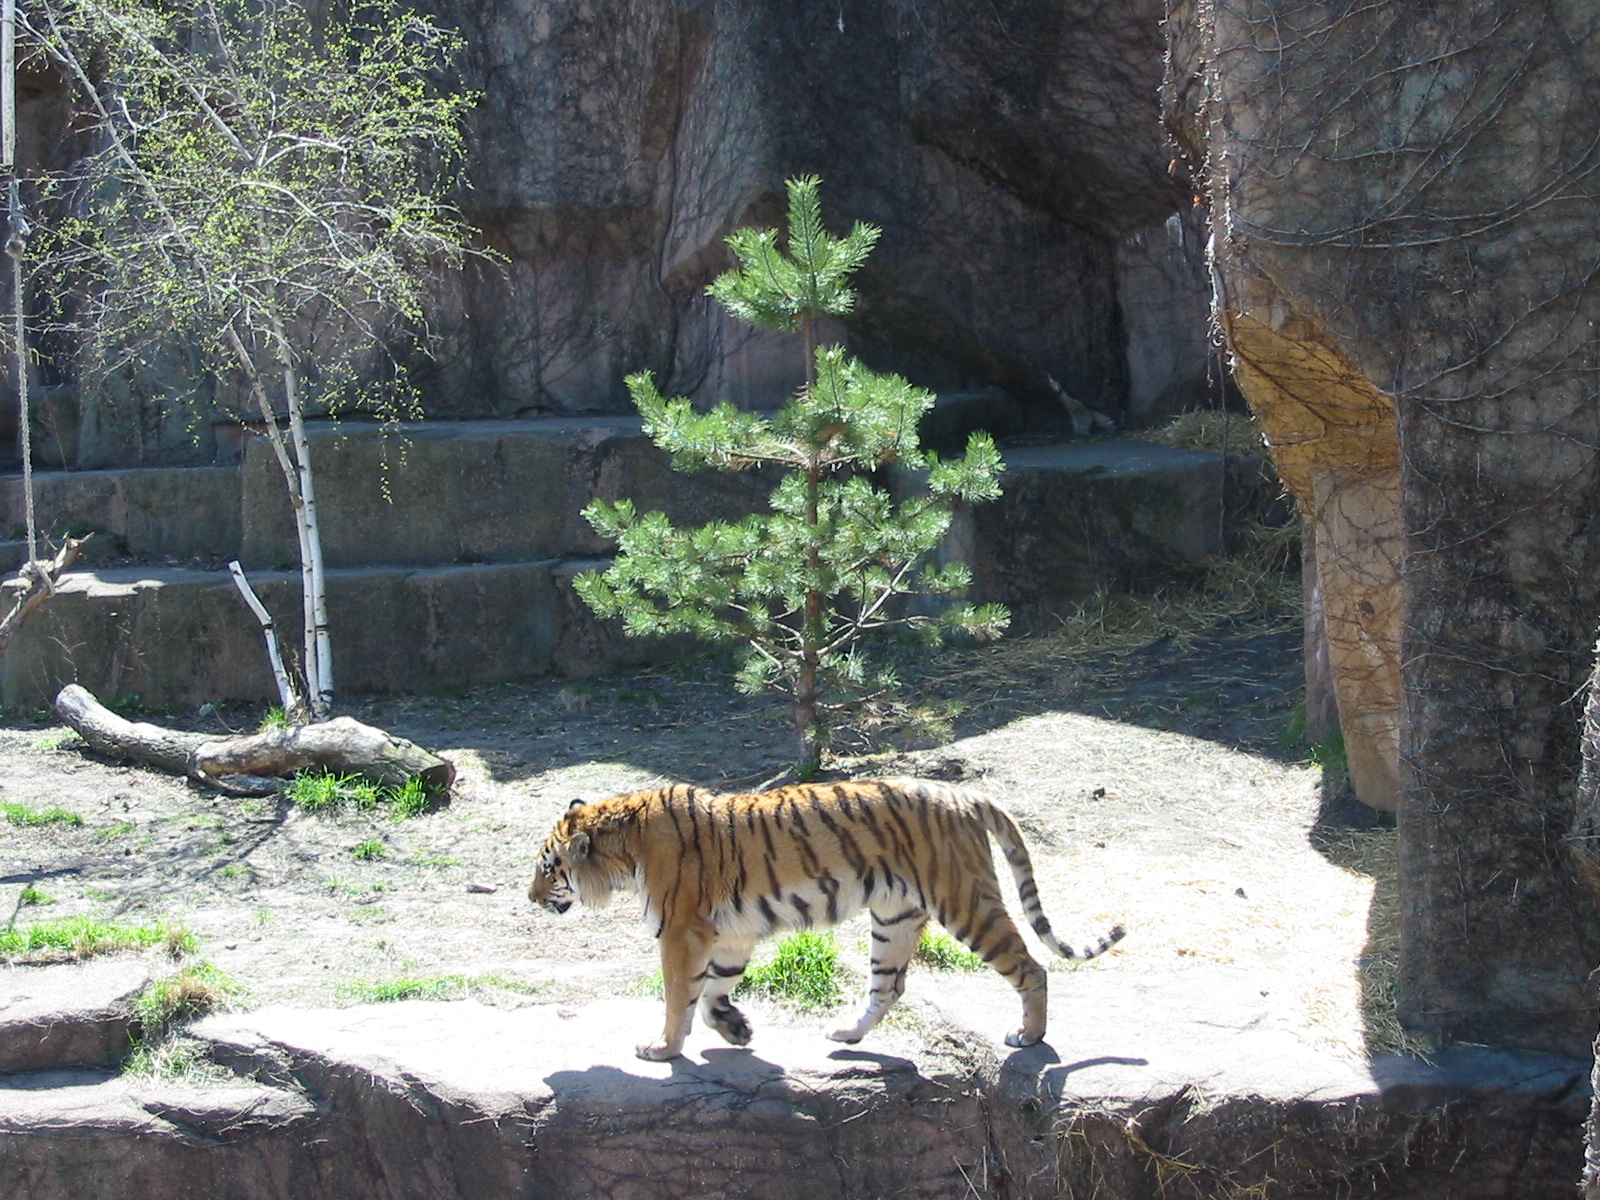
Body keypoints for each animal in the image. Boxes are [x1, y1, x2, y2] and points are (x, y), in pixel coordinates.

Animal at [527, 777, 1125, 1061]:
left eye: (547, 868)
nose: (530, 898)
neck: (621, 849)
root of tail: (966, 795)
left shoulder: (682, 931)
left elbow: (679, 998)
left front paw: (661, 1050)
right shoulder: (728, 933)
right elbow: (714, 989)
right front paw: (736, 1028)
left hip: (965, 904)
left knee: (1031, 967)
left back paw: (1029, 1035)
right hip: (893, 918)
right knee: (889, 986)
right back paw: (846, 1033)